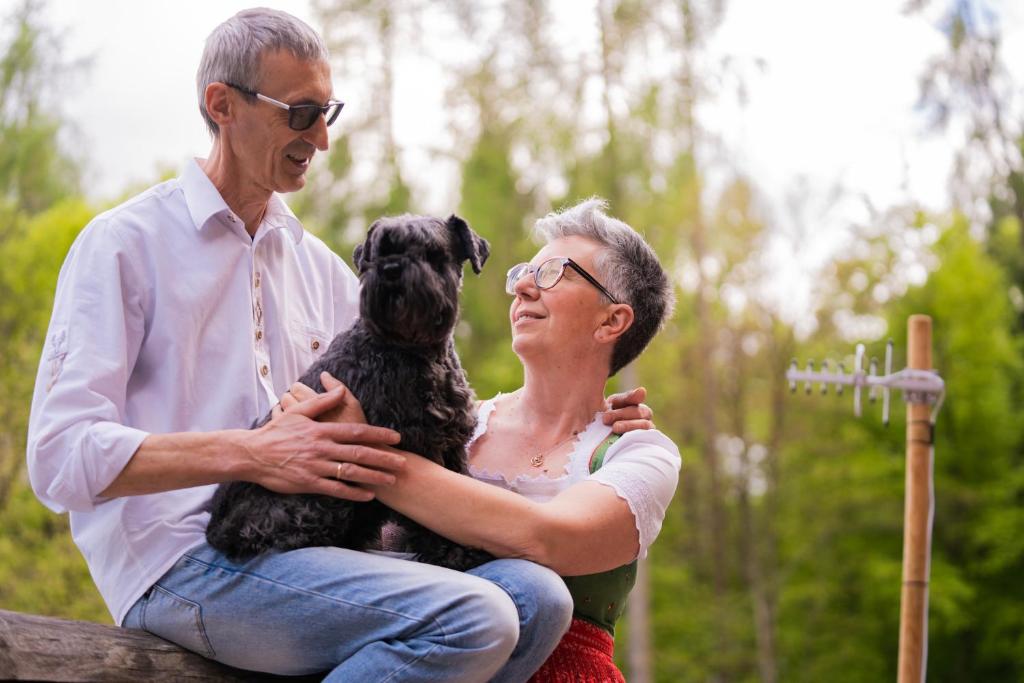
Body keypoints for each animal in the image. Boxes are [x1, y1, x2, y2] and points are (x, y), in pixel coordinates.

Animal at [204, 214, 491, 573]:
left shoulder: (450, 443)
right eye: (376, 253)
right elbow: (433, 507)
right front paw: (452, 553)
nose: (391, 268)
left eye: (432, 252)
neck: (413, 349)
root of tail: (215, 529)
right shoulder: (416, 446)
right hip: (319, 501)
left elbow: (457, 493)